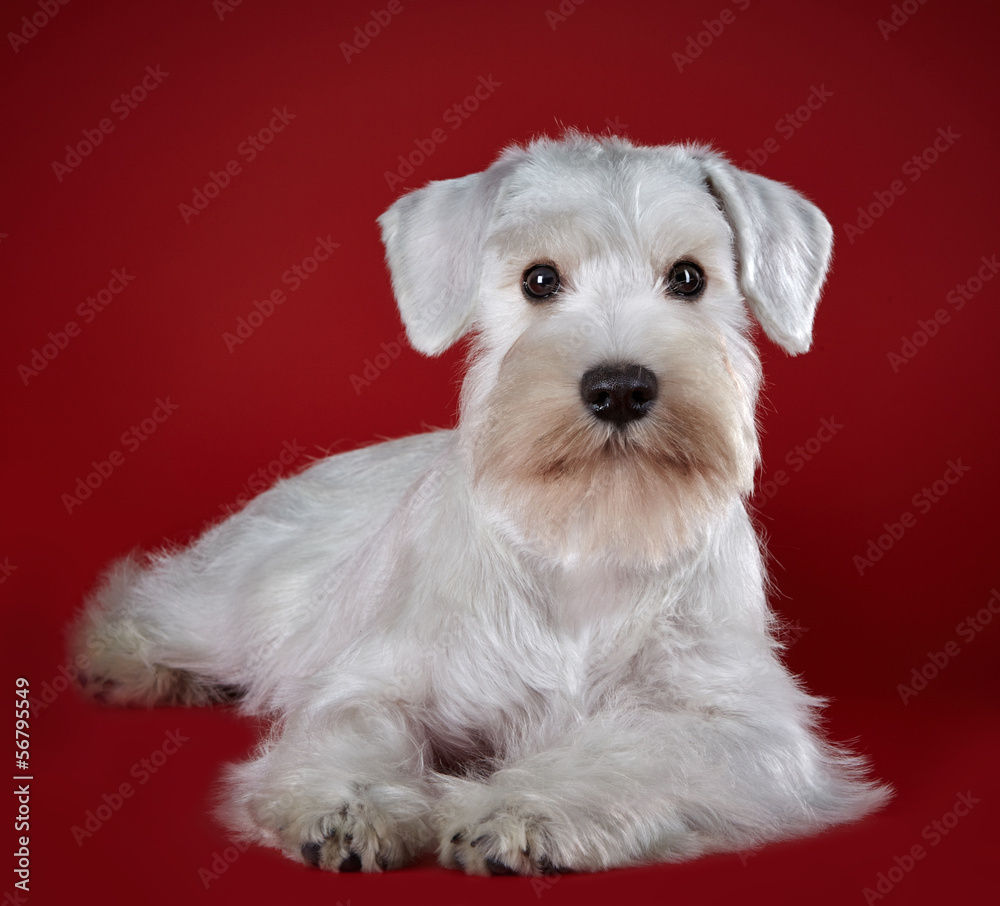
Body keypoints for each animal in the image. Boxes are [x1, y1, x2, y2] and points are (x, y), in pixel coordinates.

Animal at [78, 134, 892, 876]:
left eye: (689, 277)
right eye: (539, 279)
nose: (620, 387)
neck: (586, 537)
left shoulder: (740, 726)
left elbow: (632, 752)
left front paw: (521, 812)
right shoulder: (381, 678)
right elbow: (357, 729)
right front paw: (349, 807)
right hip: (231, 601)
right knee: (151, 601)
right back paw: (127, 665)